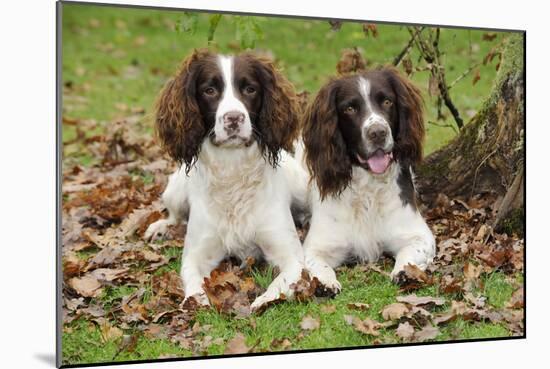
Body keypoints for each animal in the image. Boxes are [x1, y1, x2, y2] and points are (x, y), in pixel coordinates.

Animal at [302, 67, 436, 294]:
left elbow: (410, 252)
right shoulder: (316, 246)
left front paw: (405, 272)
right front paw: (325, 282)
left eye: (387, 102)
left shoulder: (419, 235)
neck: (368, 187)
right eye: (349, 108)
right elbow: (317, 263)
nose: (378, 133)